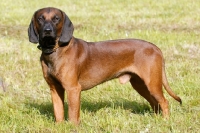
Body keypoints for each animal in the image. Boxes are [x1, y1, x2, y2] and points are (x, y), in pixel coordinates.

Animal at [27, 6, 182, 124]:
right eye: (40, 18)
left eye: (56, 18)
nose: (47, 31)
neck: (55, 50)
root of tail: (155, 48)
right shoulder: (55, 89)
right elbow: (58, 112)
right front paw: (60, 126)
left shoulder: (73, 89)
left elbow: (72, 114)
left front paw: (73, 127)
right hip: (140, 85)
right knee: (154, 103)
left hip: (152, 83)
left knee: (164, 102)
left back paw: (166, 121)